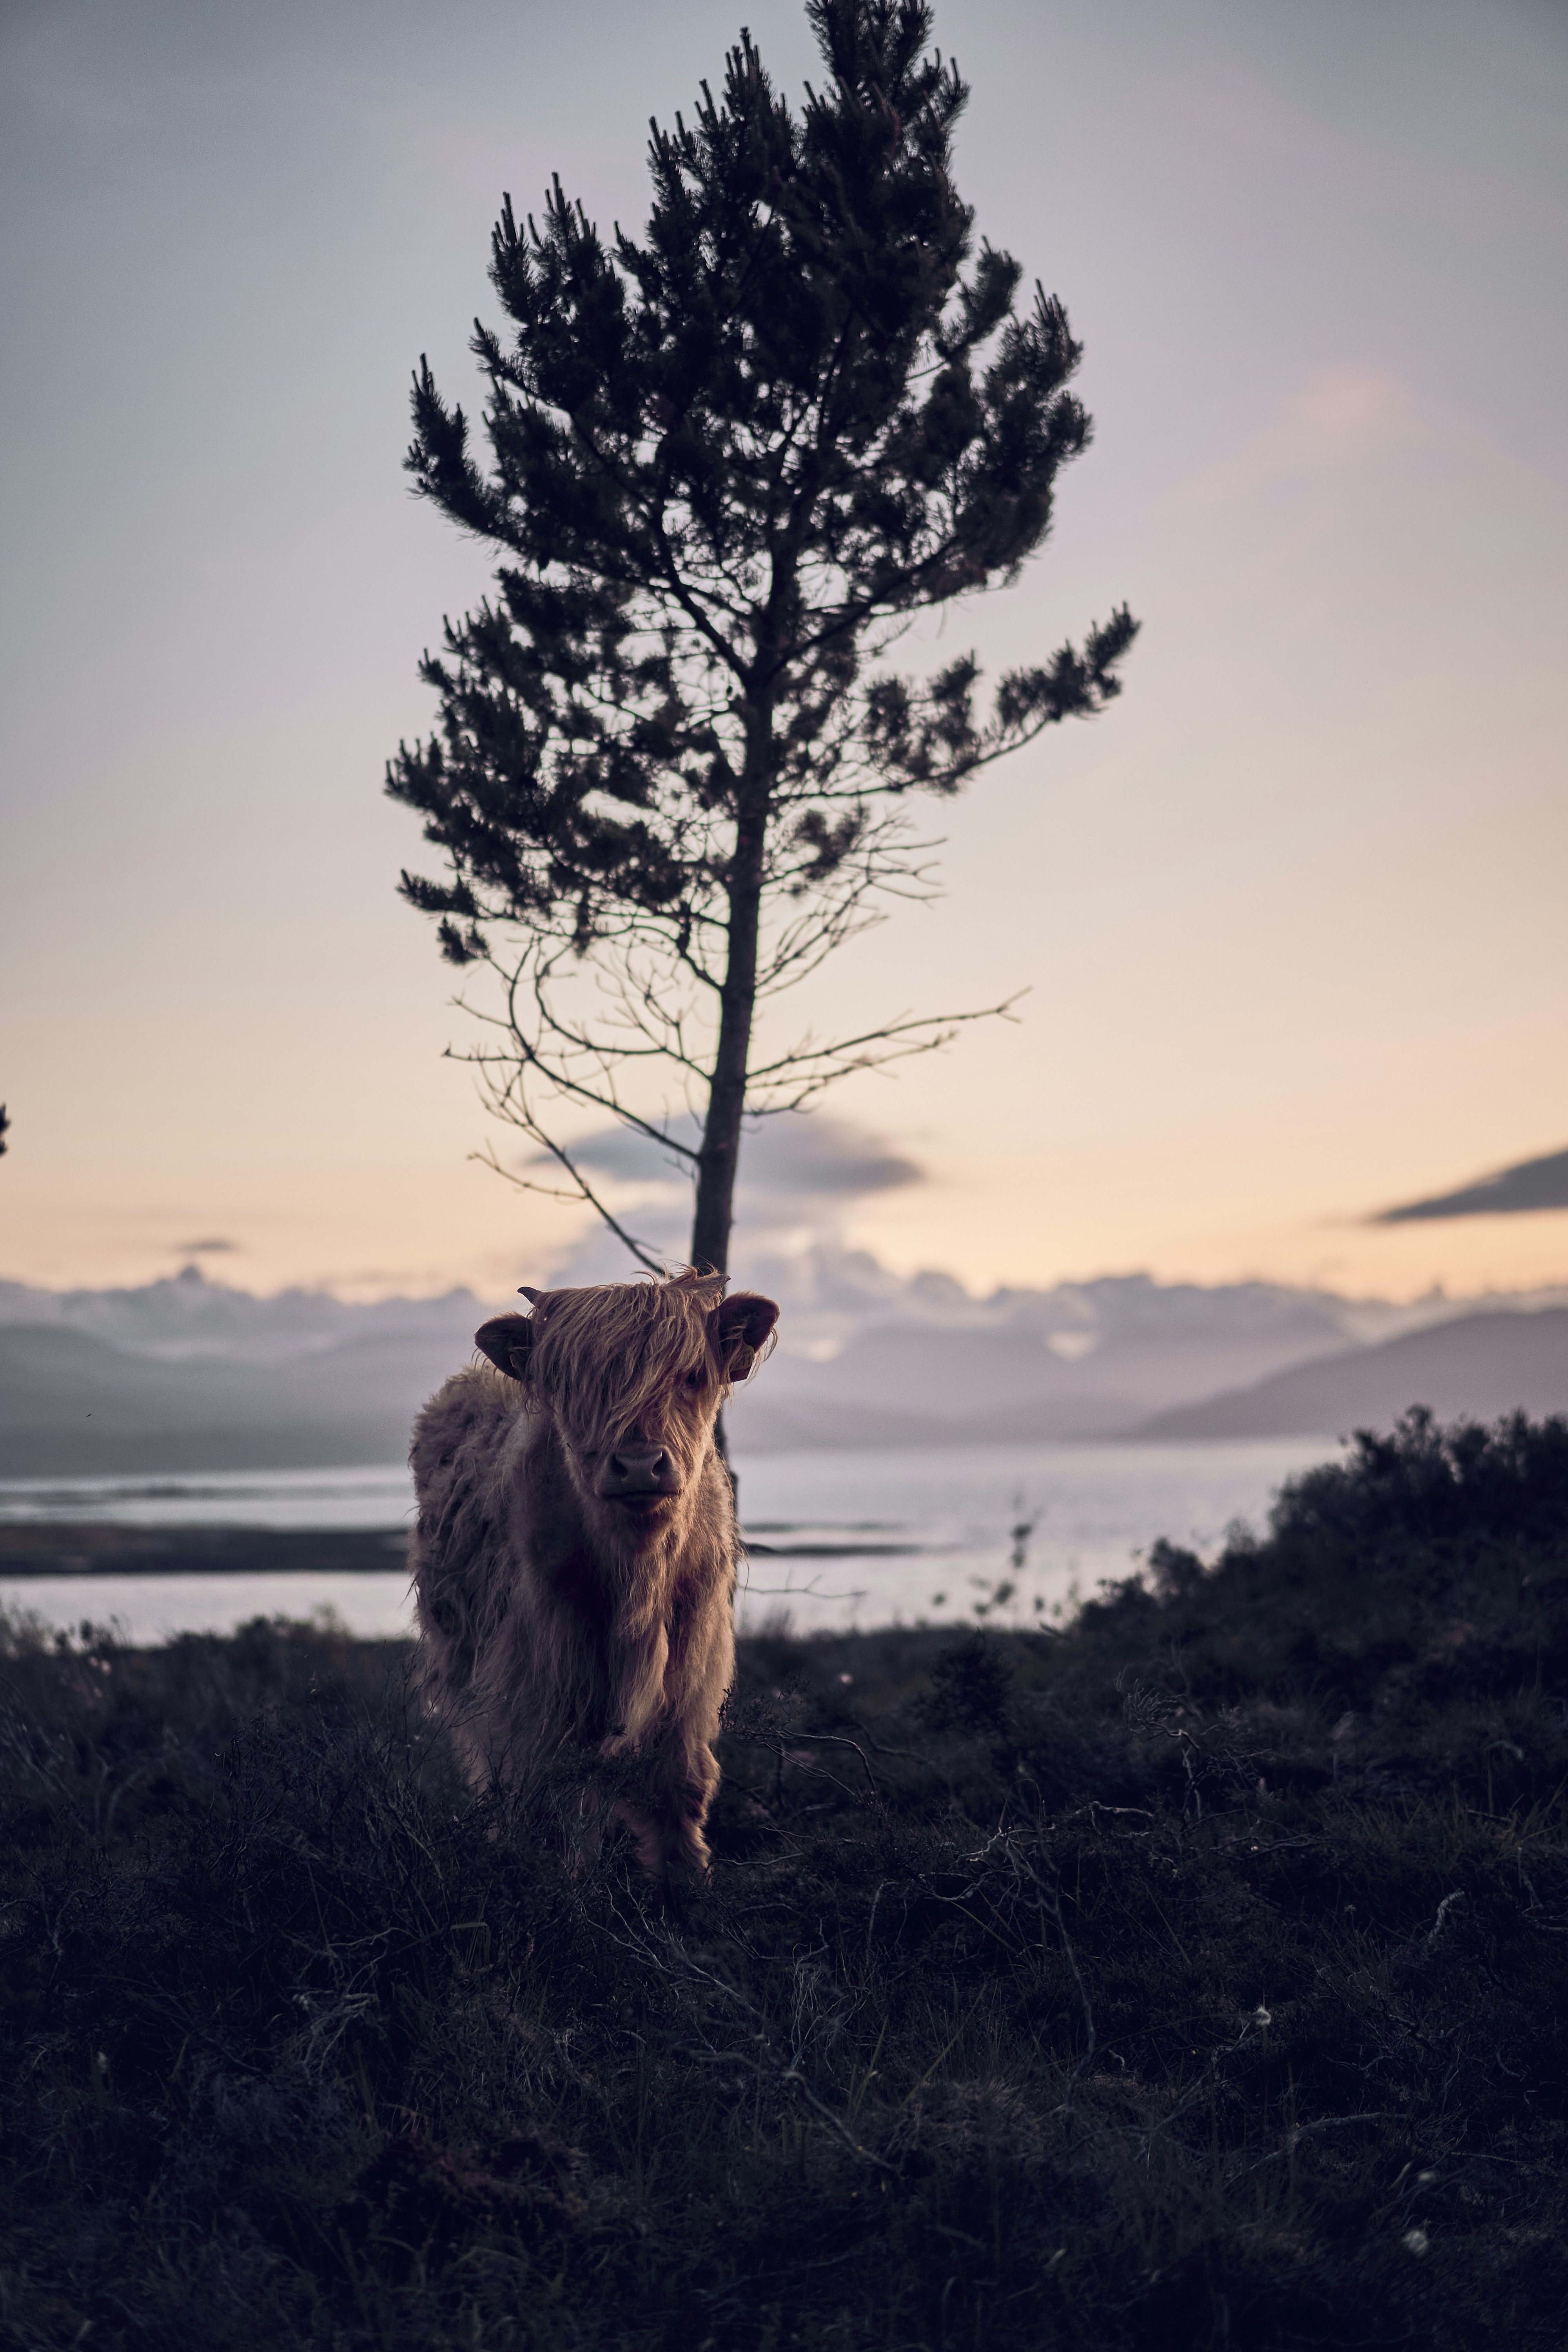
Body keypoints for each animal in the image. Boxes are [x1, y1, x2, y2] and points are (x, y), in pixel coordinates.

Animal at [409, 1267, 779, 1882]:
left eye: (692, 1377)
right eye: (571, 1386)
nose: (639, 1465)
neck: (638, 1580)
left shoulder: (692, 1672)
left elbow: (680, 1784)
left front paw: (686, 1882)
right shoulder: (543, 1673)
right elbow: (558, 1795)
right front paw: (561, 1882)